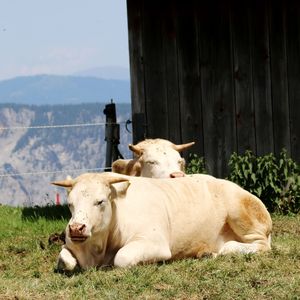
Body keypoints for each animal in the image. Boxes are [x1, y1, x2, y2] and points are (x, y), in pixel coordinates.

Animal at [52, 171, 274, 272]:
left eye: (100, 201)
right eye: (70, 204)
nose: (76, 228)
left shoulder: (154, 242)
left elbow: (122, 258)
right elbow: (66, 260)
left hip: (241, 212)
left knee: (260, 245)